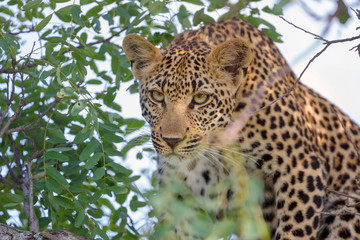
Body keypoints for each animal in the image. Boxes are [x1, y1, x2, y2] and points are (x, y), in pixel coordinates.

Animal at [123, 17, 360, 239]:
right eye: (157, 96)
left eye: (200, 98)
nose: (172, 140)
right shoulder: (183, 194)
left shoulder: (300, 164)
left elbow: (295, 230)